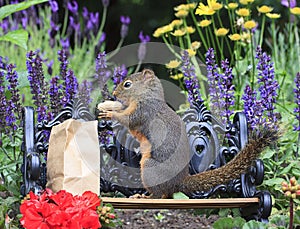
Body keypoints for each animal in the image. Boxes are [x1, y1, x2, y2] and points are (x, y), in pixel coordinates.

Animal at [99, 68, 278, 199]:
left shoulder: (143, 112)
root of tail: (179, 183)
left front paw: (109, 113)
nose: (114, 94)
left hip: (150, 169)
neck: (146, 96)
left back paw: (144, 197)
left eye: (127, 84)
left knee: (159, 194)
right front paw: (109, 106)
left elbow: (128, 120)